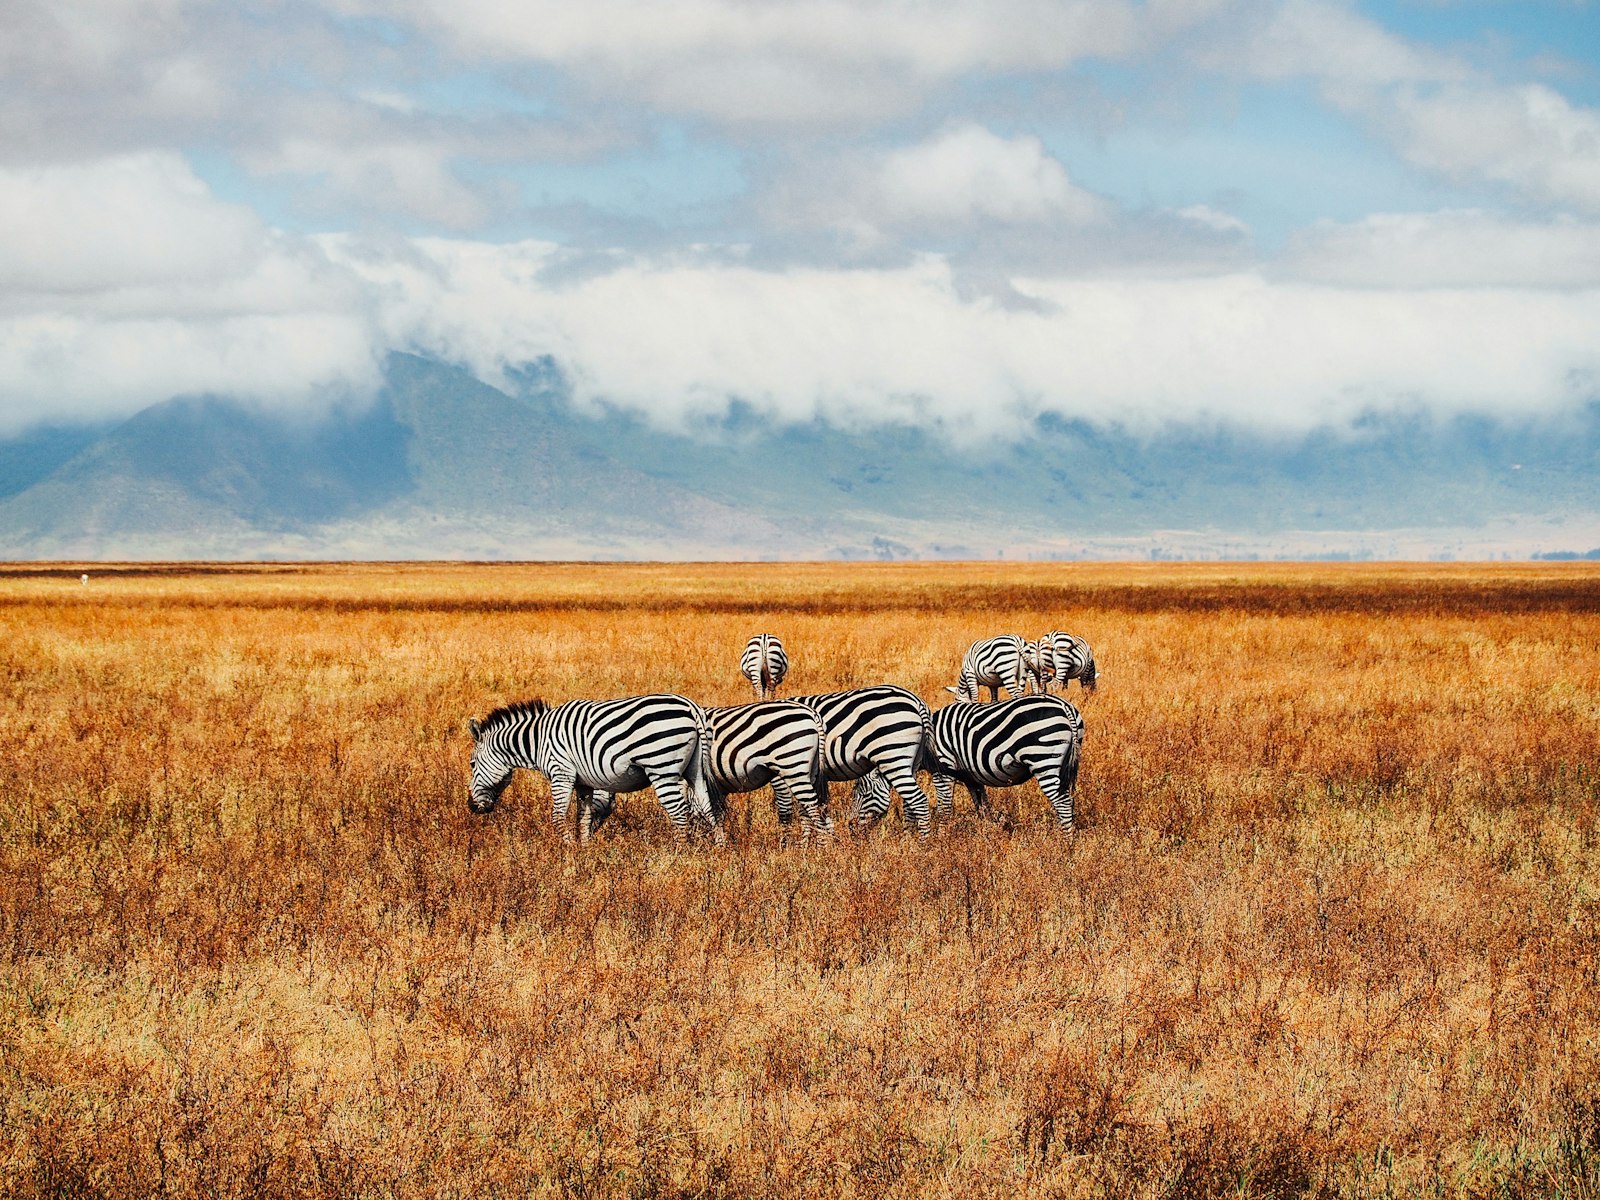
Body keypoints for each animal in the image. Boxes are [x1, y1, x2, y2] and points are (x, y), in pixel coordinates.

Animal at [460, 694, 716, 844]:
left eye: (472, 764)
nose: (471, 806)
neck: (538, 739)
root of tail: (691, 707)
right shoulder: (584, 782)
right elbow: (583, 818)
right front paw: (583, 851)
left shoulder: (561, 773)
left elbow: (558, 817)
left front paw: (568, 852)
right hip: (695, 769)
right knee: (707, 806)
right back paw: (718, 851)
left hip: (661, 769)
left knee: (680, 814)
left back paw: (678, 855)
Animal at [790, 684, 934, 838]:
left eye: (864, 795)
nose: (851, 826)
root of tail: (916, 700)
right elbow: (813, 808)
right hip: (912, 762)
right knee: (909, 803)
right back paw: (907, 840)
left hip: (892, 757)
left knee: (918, 801)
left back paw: (923, 842)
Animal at [864, 694, 1088, 838]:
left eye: (863, 793)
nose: (856, 830)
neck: (927, 739)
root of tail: (1065, 707)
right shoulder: (971, 777)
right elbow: (982, 807)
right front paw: (987, 835)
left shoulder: (944, 770)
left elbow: (945, 808)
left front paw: (941, 838)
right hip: (1063, 764)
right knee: (1069, 799)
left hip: (1044, 758)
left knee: (1062, 801)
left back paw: (1065, 842)